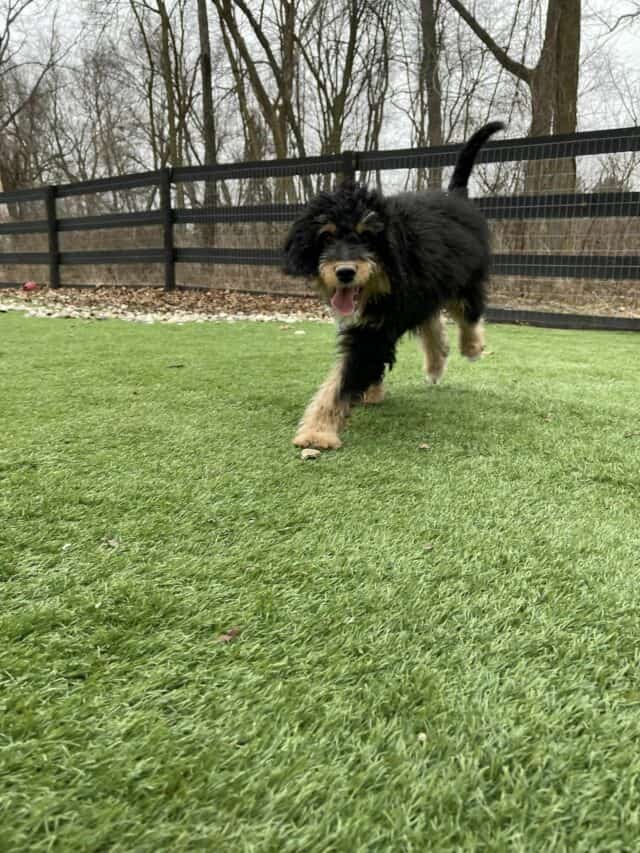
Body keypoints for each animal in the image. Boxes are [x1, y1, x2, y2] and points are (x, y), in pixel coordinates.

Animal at [284, 122, 504, 450]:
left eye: (367, 236)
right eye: (326, 236)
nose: (345, 272)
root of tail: (456, 196)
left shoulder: (374, 332)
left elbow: (342, 380)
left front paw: (318, 431)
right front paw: (370, 393)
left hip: (465, 279)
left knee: (470, 311)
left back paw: (472, 346)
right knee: (432, 321)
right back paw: (436, 362)